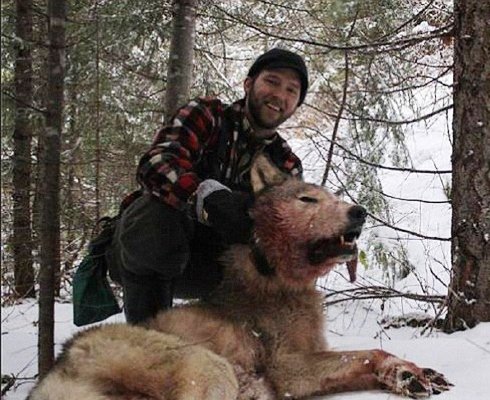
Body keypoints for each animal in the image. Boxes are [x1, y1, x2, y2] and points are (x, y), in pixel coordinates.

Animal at [27, 154, 452, 400]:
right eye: (307, 200)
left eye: (332, 197)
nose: (359, 212)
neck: (278, 279)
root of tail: (57, 367)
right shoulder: (288, 369)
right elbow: (369, 352)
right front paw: (403, 371)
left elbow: (369, 359)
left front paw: (408, 374)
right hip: (209, 368)